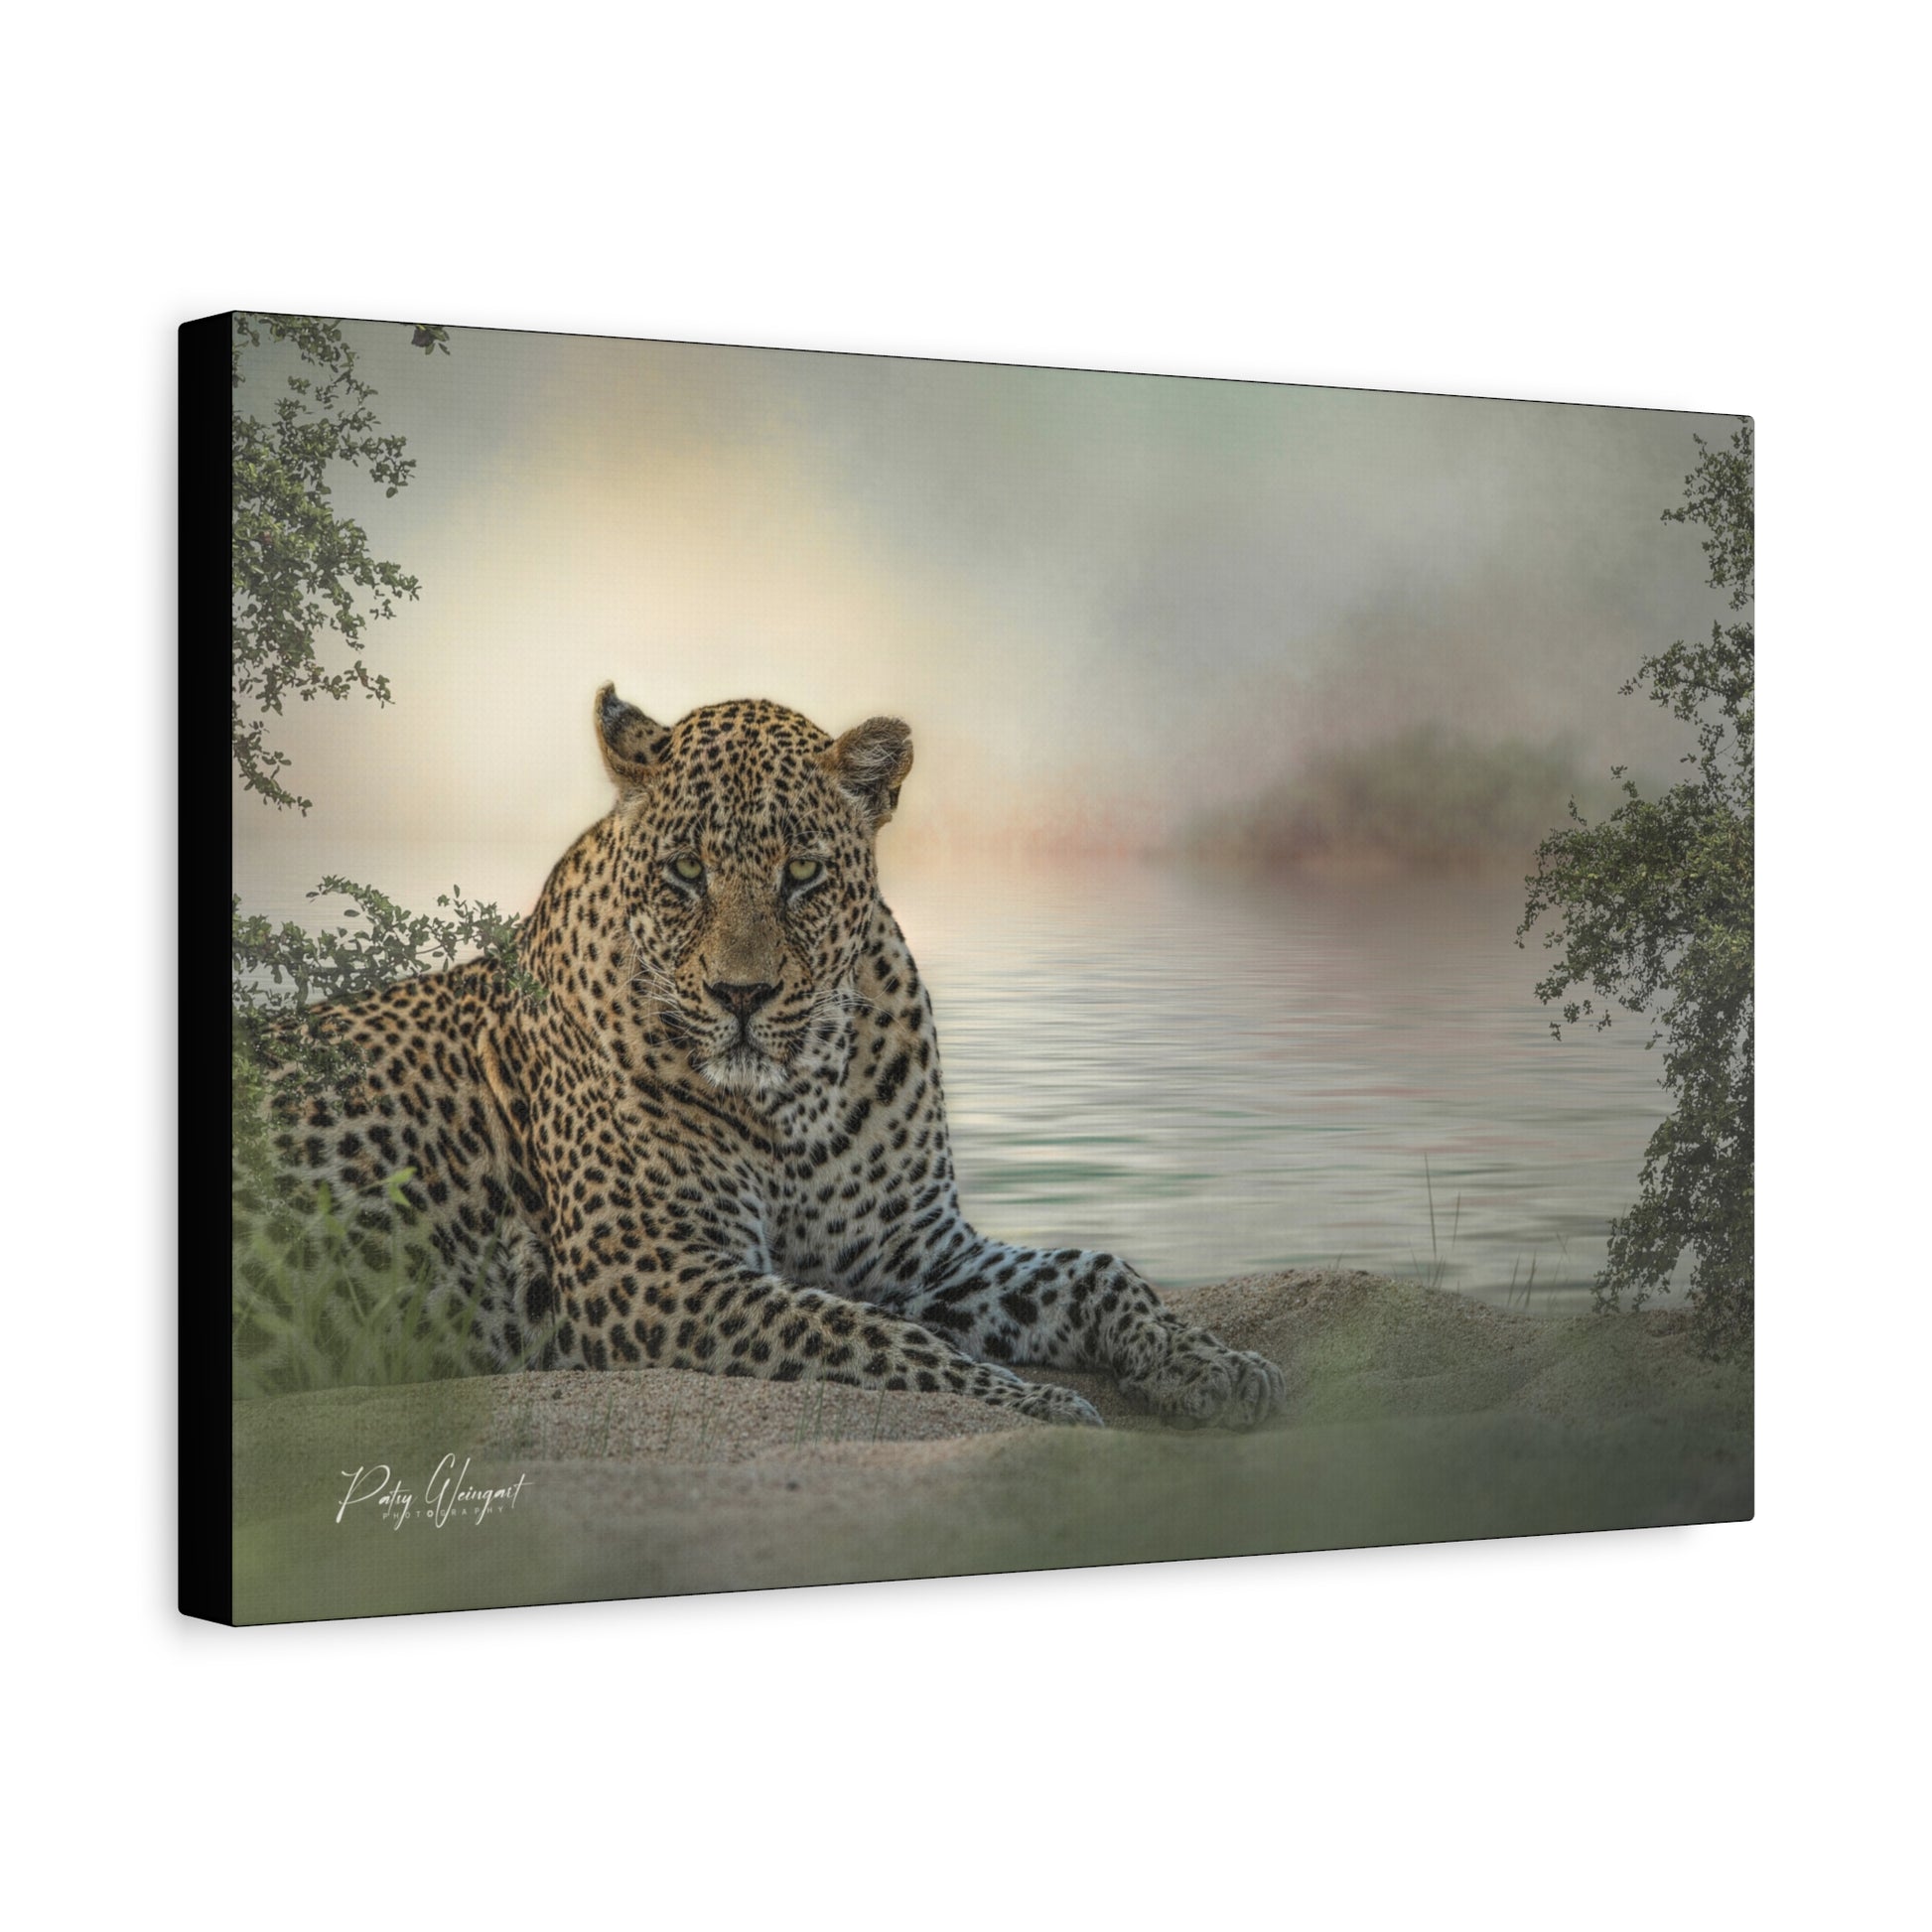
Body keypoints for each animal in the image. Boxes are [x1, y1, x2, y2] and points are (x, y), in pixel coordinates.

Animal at [240, 687, 1288, 1429]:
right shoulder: (652, 1270)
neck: (799, 1097)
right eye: (685, 873)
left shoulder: (912, 1247)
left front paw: (1215, 1365)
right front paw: (1036, 1403)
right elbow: (866, 1335)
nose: (739, 996)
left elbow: (1099, 1269)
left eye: (803, 873)